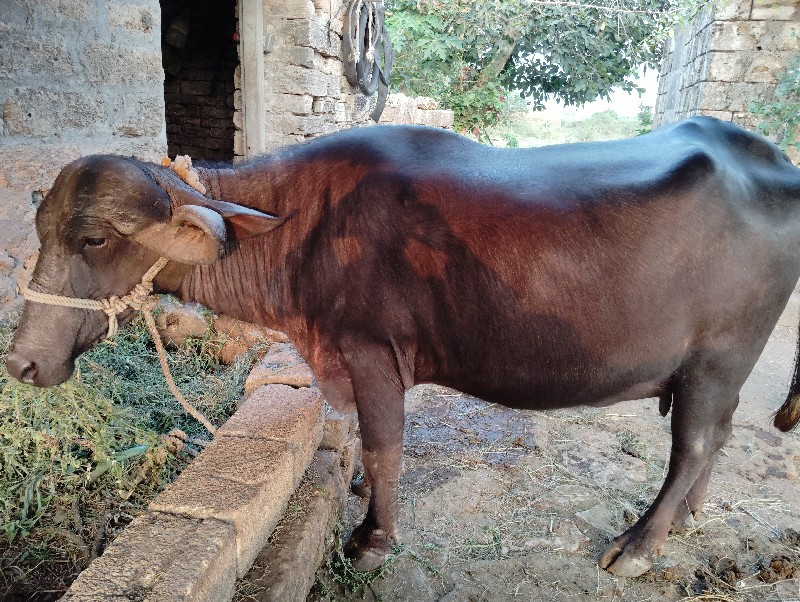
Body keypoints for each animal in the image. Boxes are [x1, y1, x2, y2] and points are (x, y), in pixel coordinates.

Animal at [6, 115, 800, 576]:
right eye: (42, 232)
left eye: (94, 238)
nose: (21, 362)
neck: (306, 228)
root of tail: (777, 164)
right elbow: (365, 437)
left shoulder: (369, 353)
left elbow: (387, 444)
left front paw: (373, 535)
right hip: (719, 370)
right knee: (720, 435)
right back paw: (689, 516)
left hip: (718, 357)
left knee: (693, 442)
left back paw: (639, 546)